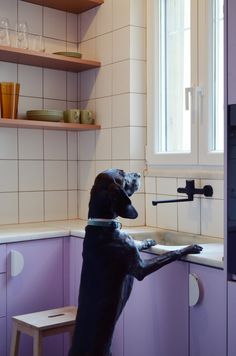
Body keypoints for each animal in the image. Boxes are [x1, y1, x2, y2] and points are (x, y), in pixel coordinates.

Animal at [68, 169, 203, 356]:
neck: (103, 224)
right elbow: (171, 253)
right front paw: (190, 247)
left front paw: (148, 241)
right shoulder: (140, 269)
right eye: (123, 174)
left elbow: (139, 244)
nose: (139, 173)